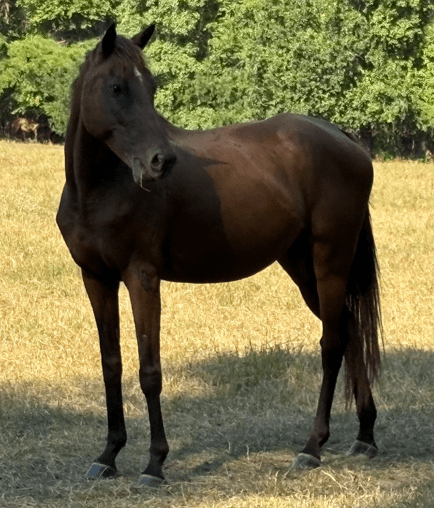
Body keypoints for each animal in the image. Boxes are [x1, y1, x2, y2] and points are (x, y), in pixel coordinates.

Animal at [56, 23, 382, 488]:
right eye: (117, 88)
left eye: (151, 88)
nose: (161, 161)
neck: (101, 190)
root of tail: (344, 140)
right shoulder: (96, 278)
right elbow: (111, 364)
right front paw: (109, 454)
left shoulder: (142, 277)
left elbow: (149, 370)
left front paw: (154, 464)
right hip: (303, 268)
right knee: (351, 332)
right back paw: (365, 435)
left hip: (329, 262)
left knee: (333, 343)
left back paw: (311, 447)